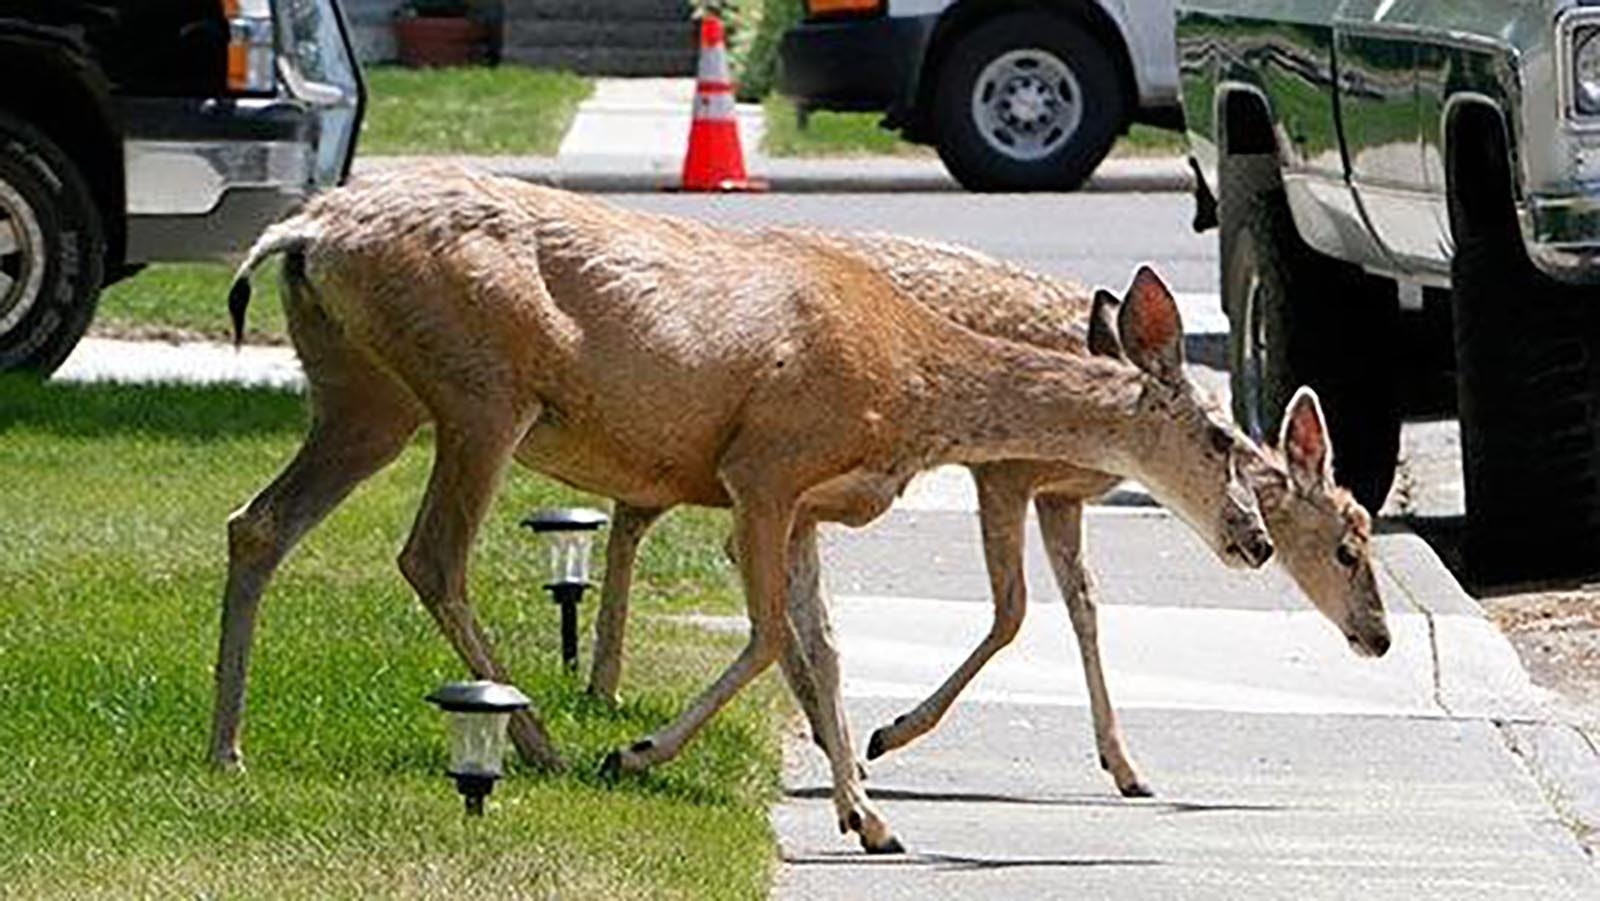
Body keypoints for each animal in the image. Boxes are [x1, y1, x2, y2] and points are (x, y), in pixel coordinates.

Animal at [212, 167, 1267, 851]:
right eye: (1225, 437)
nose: (1255, 540)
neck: (914, 381)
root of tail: (302, 234)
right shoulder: (762, 466)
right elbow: (769, 638)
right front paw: (636, 753)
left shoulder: (804, 505)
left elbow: (823, 646)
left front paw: (869, 815)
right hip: (478, 391)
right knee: (432, 554)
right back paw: (546, 743)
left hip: (366, 394)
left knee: (258, 522)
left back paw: (230, 748)